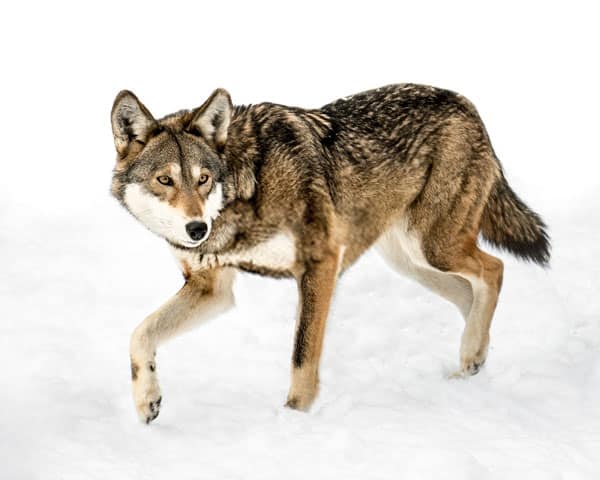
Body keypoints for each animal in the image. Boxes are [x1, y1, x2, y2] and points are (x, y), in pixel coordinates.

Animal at [111, 84, 548, 422]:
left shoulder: (319, 264)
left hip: (434, 248)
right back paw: (472, 362)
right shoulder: (211, 289)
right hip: (411, 262)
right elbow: (139, 333)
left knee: (495, 268)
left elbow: (302, 355)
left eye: (203, 180)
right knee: (469, 294)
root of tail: (466, 103)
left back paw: (471, 354)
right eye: (164, 180)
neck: (246, 189)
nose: (196, 229)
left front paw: (294, 418)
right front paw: (147, 400)